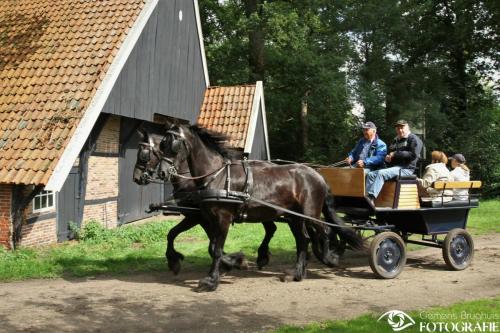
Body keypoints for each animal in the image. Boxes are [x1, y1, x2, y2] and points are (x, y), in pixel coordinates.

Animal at [133, 124, 280, 272]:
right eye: (163, 145)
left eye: (143, 154)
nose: (136, 177)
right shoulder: (204, 217)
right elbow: (198, 239)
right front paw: (230, 260)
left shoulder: (196, 217)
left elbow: (182, 235)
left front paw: (233, 261)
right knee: (271, 228)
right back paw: (262, 256)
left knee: (271, 229)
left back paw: (262, 256)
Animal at [160, 123, 364, 290]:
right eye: (161, 145)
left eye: (173, 145)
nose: (162, 173)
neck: (217, 176)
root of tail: (318, 175)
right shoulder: (208, 218)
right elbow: (210, 246)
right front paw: (233, 262)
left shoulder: (222, 218)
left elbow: (216, 250)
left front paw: (211, 281)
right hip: (294, 217)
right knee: (303, 240)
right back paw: (297, 273)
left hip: (309, 213)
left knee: (325, 231)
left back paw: (329, 258)